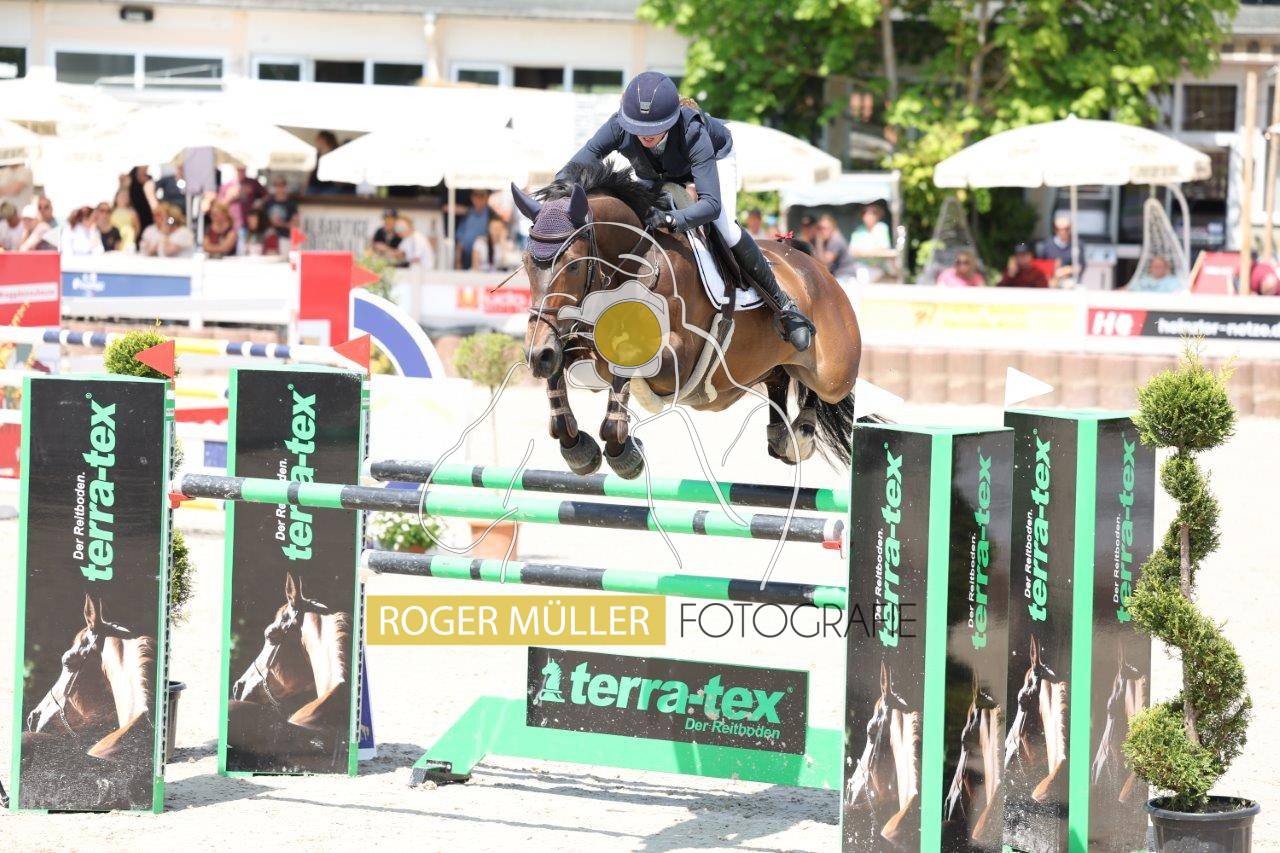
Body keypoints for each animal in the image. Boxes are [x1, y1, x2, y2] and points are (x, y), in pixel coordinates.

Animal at [512, 162, 863, 480]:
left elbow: (626, 363)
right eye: (526, 262)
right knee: (779, 378)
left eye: (572, 265)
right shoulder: (580, 349)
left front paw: (623, 452)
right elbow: (562, 369)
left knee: (819, 387)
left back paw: (802, 431)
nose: (537, 354)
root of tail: (814, 266)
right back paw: (784, 436)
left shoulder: (677, 361)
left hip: (834, 373)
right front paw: (578, 449)